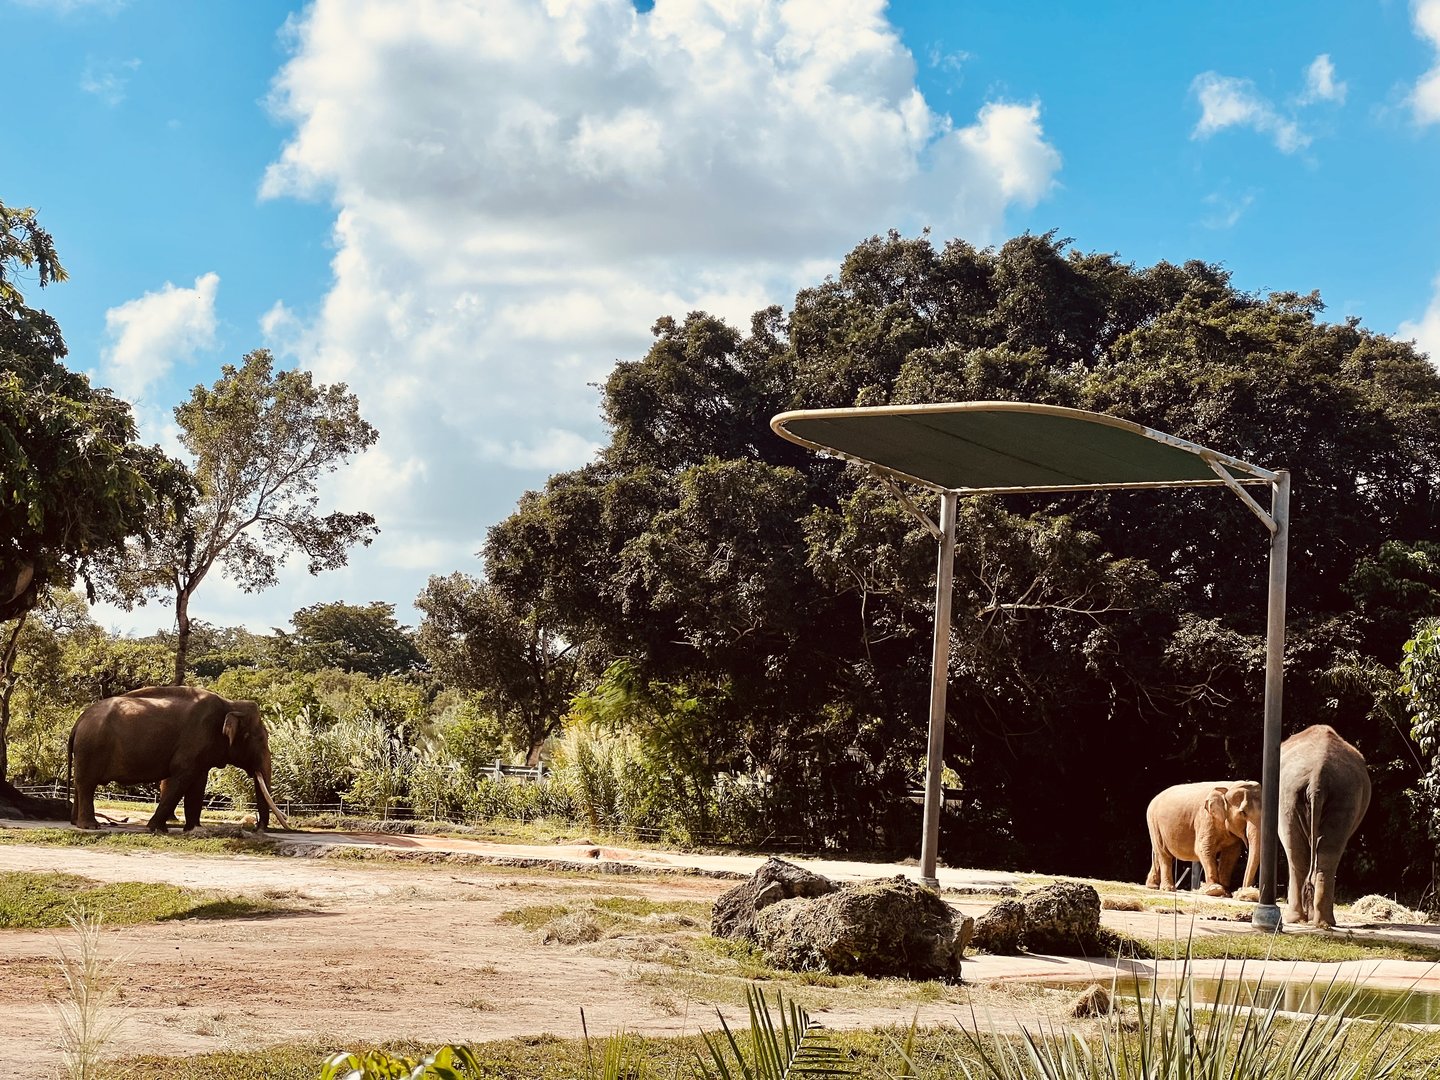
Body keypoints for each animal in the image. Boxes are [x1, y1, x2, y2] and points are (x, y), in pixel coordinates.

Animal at [68, 685, 288, 833]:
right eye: (259, 739)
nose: (257, 828)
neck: (231, 704)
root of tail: (79, 720)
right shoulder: (194, 740)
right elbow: (182, 778)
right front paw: (156, 829)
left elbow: (198, 783)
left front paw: (194, 829)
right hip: (91, 747)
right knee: (87, 784)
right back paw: (91, 827)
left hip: (86, 749)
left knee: (80, 784)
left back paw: (77, 823)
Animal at [1278, 724, 1370, 928]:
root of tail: (1317, 775)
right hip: (1342, 794)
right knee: (1323, 855)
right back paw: (1322, 922)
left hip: (1300, 795)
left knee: (1298, 855)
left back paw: (1299, 919)